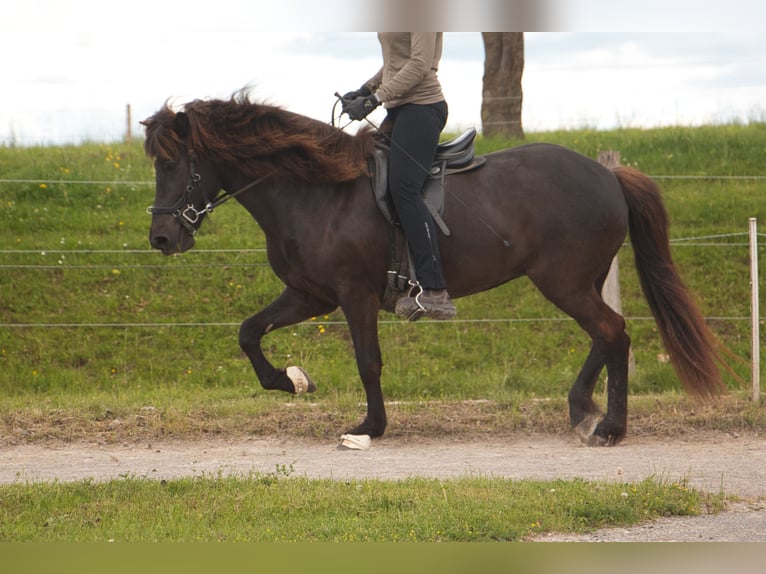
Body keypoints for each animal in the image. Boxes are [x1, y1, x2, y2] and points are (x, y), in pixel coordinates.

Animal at [146, 94, 732, 448]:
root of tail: (608, 175)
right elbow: (249, 333)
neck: (316, 191)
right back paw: (584, 410)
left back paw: (607, 425)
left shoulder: (353, 294)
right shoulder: (309, 294)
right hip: (577, 282)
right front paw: (291, 381)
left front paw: (370, 428)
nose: (161, 239)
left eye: (171, 163)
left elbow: (368, 362)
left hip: (563, 282)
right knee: (607, 337)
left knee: (613, 332)